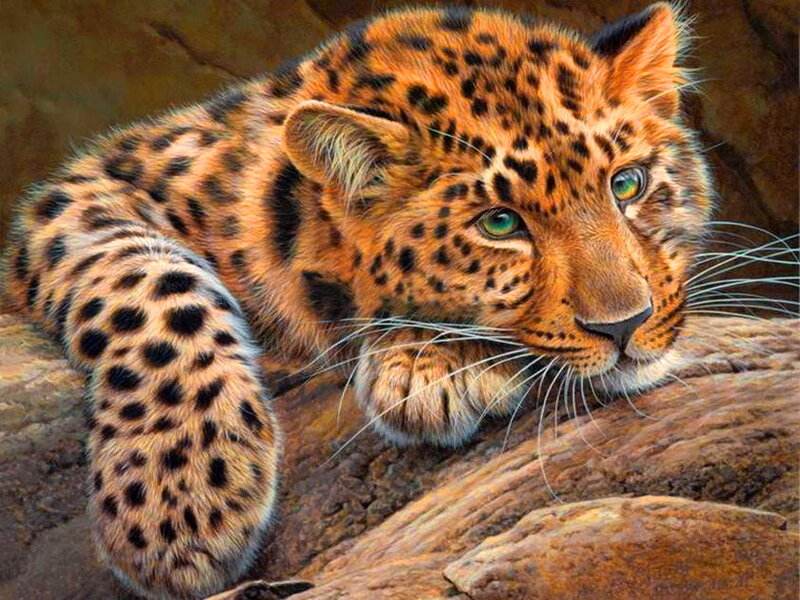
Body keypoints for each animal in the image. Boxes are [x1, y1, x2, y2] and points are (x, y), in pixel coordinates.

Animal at [1, 3, 712, 599]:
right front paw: (180, 498)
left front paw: (429, 363)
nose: (627, 324)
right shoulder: (83, 194)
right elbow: (151, 281)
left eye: (628, 184)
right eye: (500, 224)